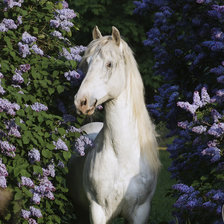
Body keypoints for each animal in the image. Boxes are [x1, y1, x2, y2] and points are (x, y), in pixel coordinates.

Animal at [69, 26, 160, 224]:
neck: (123, 158)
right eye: (86, 64)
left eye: (109, 64)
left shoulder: (140, 212)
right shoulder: (97, 211)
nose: (81, 102)